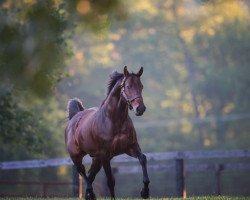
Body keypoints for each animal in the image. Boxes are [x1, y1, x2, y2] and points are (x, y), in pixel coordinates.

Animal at [65, 66, 149, 199]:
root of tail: (75, 117)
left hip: (96, 159)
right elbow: (110, 181)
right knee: (82, 171)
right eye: (128, 86)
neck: (114, 120)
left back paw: (90, 195)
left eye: (141, 86)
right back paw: (91, 193)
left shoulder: (131, 147)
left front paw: (145, 192)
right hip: (76, 156)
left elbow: (143, 159)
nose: (140, 109)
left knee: (90, 175)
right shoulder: (105, 155)